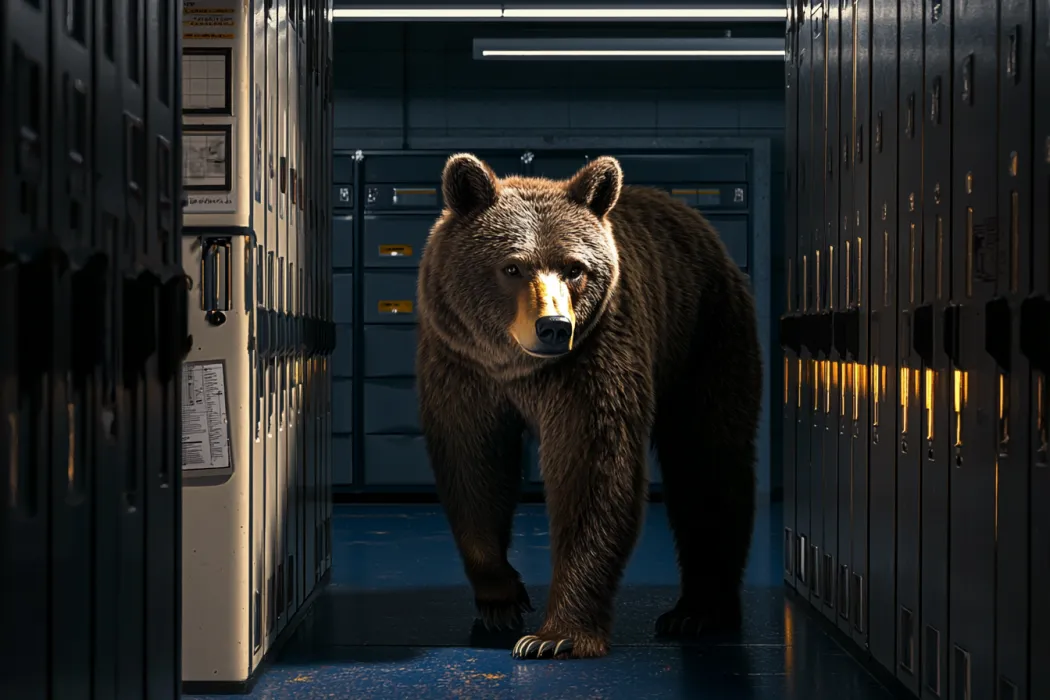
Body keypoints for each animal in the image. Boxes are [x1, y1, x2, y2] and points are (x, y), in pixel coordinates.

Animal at [415, 153, 762, 660]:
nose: (554, 326)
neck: (516, 368)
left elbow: (593, 472)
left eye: (575, 268)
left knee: (709, 456)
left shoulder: (592, 362)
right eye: (513, 267)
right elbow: (473, 464)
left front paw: (554, 636)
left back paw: (698, 610)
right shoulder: (462, 364)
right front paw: (502, 600)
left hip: (706, 334)